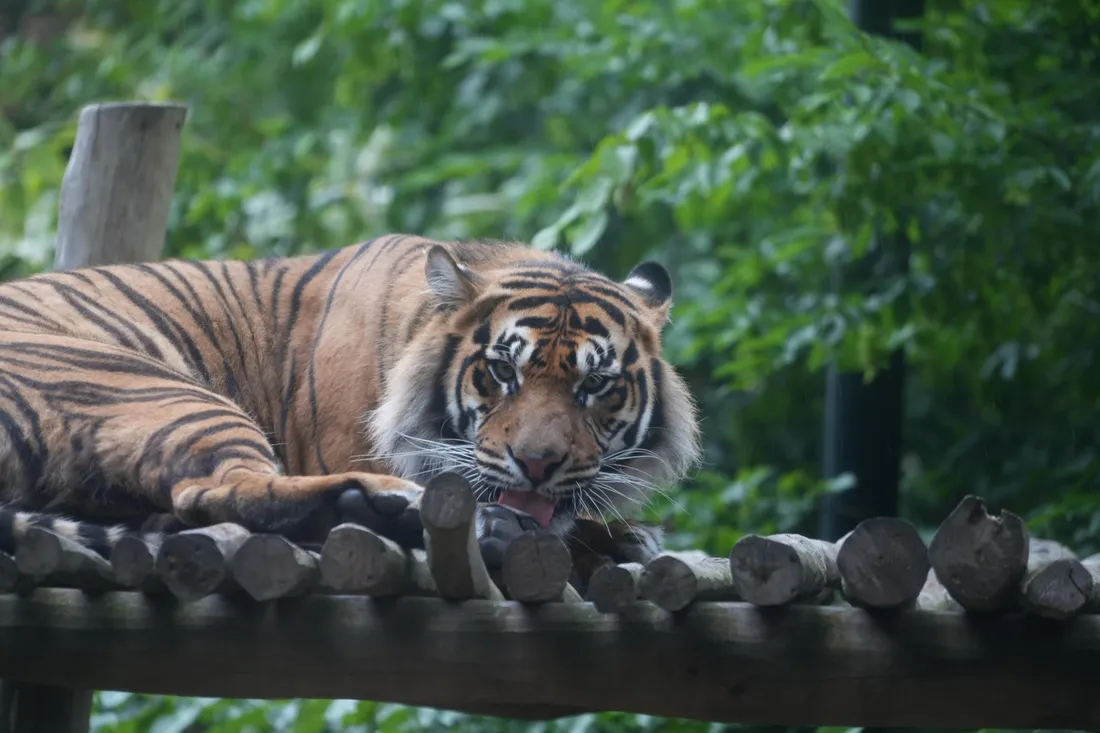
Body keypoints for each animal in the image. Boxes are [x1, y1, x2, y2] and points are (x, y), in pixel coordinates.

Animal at [0, 234, 700, 585]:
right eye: (504, 372)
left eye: (596, 386)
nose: (537, 464)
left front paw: (625, 535)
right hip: (164, 389)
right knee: (216, 491)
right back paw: (403, 508)